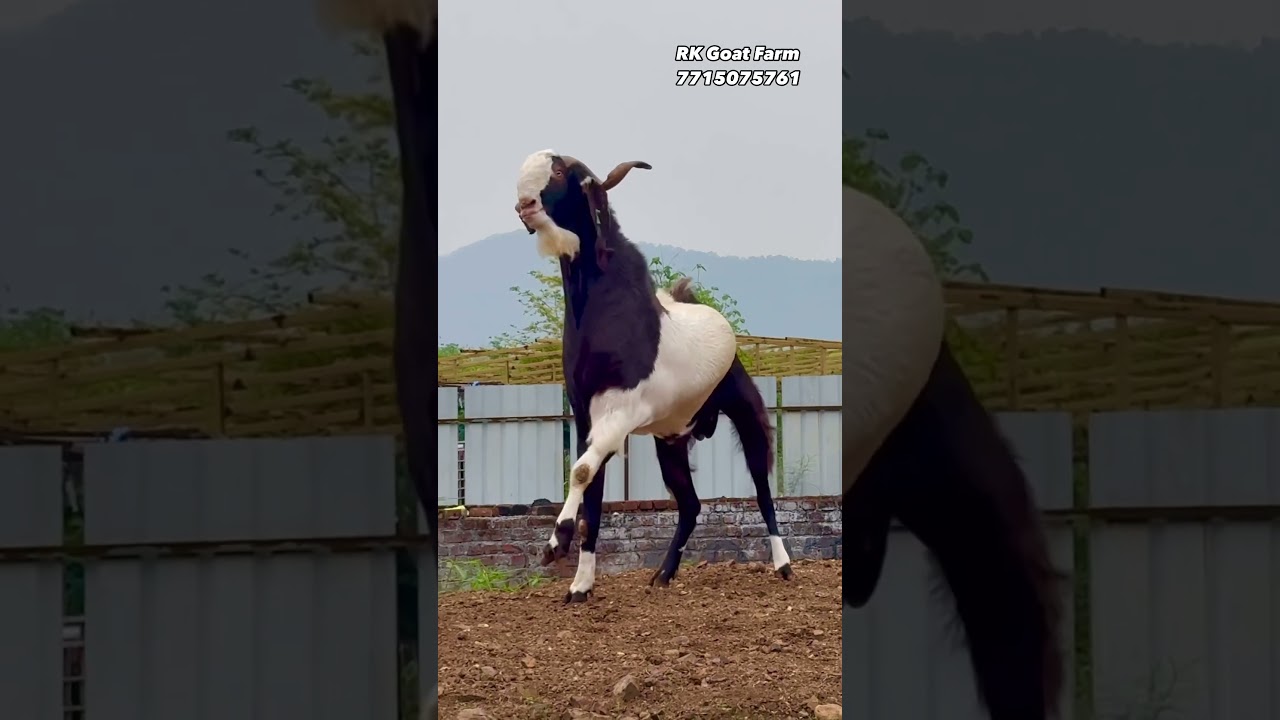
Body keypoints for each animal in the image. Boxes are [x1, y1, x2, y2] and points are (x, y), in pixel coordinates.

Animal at [514, 150, 793, 603]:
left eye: (558, 170)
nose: (525, 206)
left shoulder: (621, 412)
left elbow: (581, 472)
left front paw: (556, 542)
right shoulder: (585, 416)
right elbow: (592, 491)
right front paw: (580, 586)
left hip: (743, 408)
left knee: (762, 486)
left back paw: (784, 565)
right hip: (672, 439)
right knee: (691, 504)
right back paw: (663, 574)